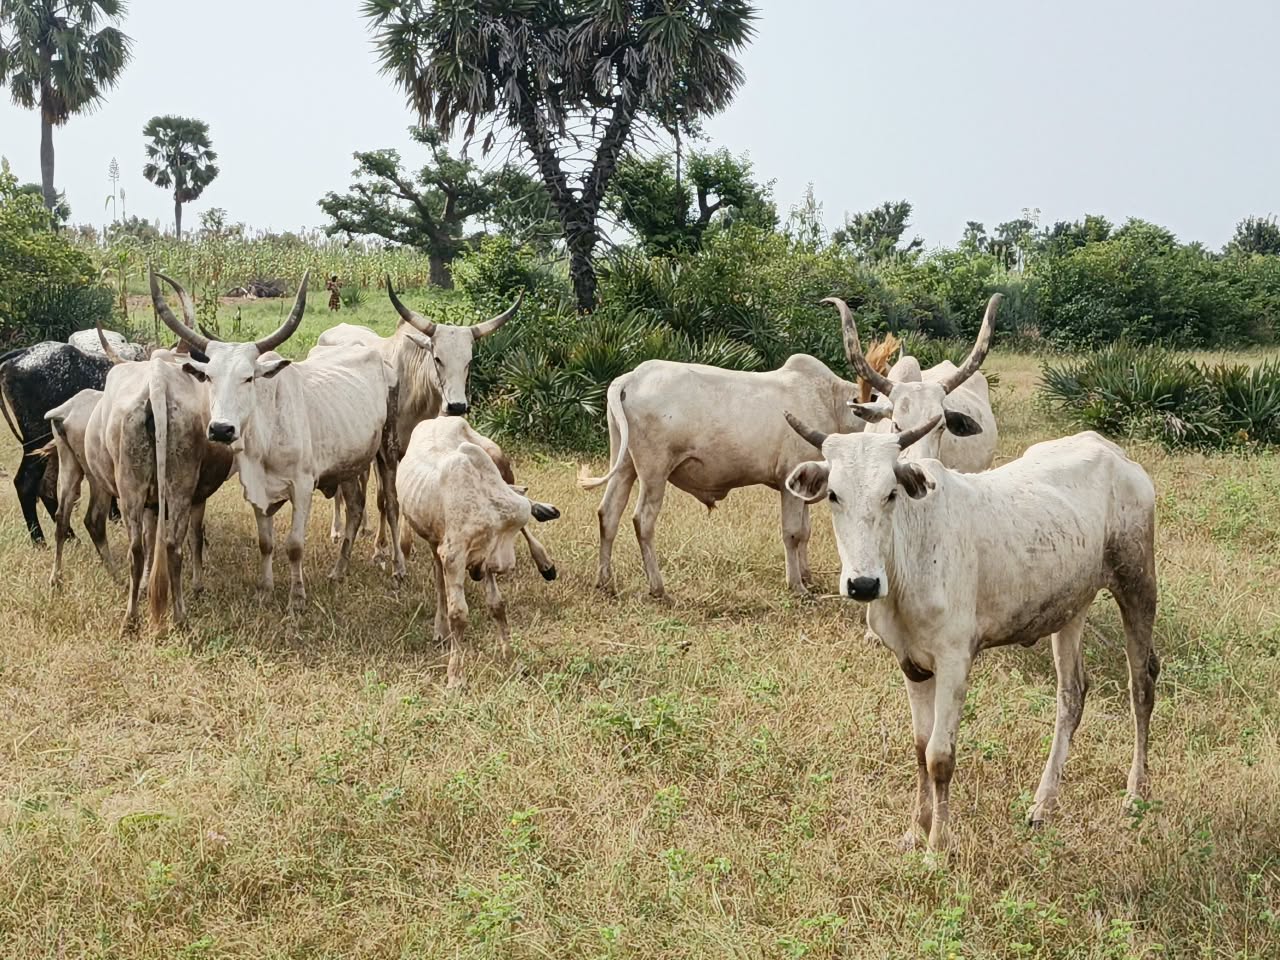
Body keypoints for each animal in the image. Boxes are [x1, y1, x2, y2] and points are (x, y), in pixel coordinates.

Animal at [152, 269, 405, 611]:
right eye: (208, 377)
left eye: (249, 377)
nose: (221, 429)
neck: (267, 434)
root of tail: (377, 356)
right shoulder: (255, 489)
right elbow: (266, 543)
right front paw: (265, 589)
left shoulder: (302, 486)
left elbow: (294, 545)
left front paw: (297, 597)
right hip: (350, 462)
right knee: (355, 508)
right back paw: (338, 571)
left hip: (386, 449)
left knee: (391, 505)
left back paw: (398, 568)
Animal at [317, 278, 522, 556]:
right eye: (437, 358)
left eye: (469, 361)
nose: (457, 406)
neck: (415, 391)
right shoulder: (387, 452)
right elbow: (384, 498)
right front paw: (381, 547)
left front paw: (405, 543)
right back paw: (337, 529)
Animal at [396, 416, 561, 690]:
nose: (475, 572)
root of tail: (440, 417)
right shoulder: (453, 554)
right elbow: (459, 614)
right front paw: (455, 675)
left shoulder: (485, 559)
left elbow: (497, 606)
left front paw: (512, 660)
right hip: (435, 540)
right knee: (439, 581)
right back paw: (440, 628)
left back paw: (545, 562)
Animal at [577, 346, 897, 599]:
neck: (829, 402)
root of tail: (632, 377)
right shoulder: (789, 482)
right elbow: (793, 533)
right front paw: (797, 585)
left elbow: (805, 532)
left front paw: (807, 576)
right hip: (654, 471)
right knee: (642, 520)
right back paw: (658, 588)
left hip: (624, 465)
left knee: (608, 514)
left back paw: (605, 583)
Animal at [781, 413, 1158, 854]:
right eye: (833, 495)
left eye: (890, 494)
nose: (863, 584)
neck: (907, 557)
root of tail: (1110, 450)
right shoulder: (910, 662)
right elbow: (919, 747)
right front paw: (916, 830)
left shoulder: (954, 660)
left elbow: (939, 756)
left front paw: (936, 848)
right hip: (1071, 604)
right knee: (1072, 694)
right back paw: (1043, 804)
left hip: (1137, 583)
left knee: (1141, 686)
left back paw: (1135, 794)